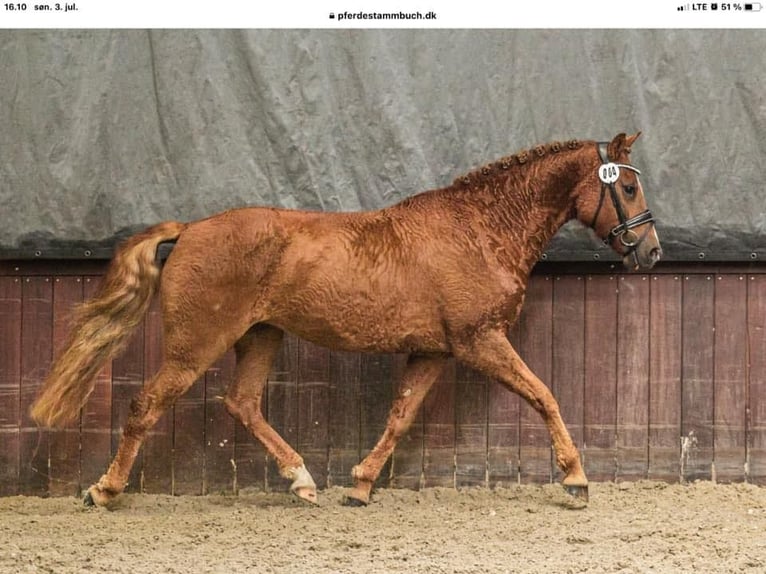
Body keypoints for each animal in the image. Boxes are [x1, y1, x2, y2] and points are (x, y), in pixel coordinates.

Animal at [33, 132, 664, 508]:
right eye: (630, 186)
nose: (652, 252)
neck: (480, 231)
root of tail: (189, 229)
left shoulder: (433, 350)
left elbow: (400, 416)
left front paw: (360, 486)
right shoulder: (479, 340)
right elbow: (544, 395)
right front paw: (576, 478)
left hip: (260, 336)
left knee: (242, 403)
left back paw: (304, 481)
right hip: (197, 344)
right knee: (145, 406)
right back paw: (104, 490)